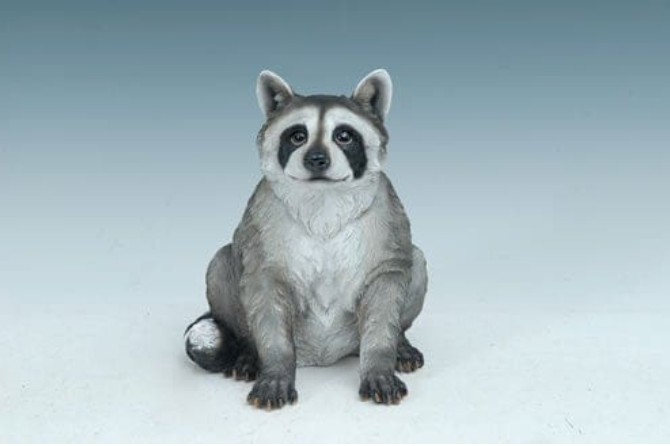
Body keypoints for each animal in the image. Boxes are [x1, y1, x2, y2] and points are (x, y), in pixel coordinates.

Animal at [185, 69, 427, 410]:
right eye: (297, 136)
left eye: (344, 136)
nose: (316, 159)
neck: (324, 196)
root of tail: (321, 356)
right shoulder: (264, 222)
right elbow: (266, 295)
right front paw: (276, 368)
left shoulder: (385, 218)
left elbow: (387, 289)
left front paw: (379, 363)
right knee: (220, 263)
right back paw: (249, 350)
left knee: (415, 259)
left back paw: (401, 342)